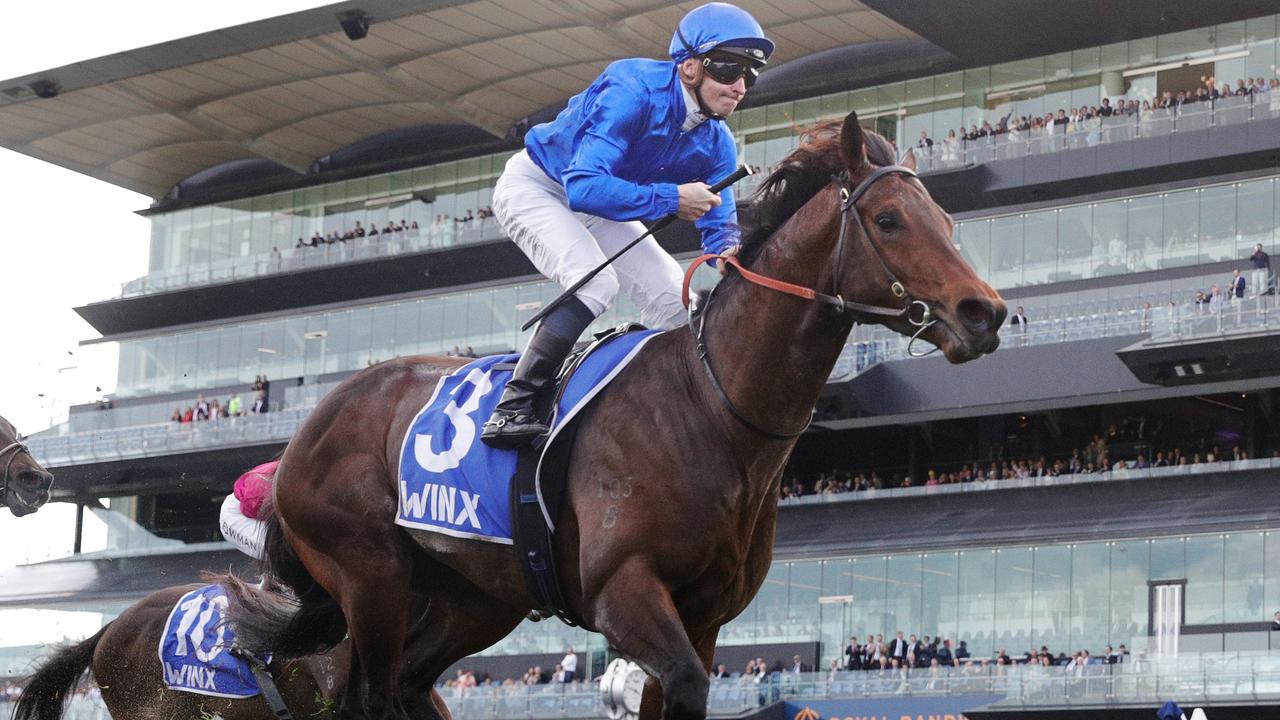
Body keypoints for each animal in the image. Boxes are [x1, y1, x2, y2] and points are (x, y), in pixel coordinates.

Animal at [227, 107, 1008, 717]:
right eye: (889, 219)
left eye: (946, 219)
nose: (986, 313)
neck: (711, 411)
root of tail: (313, 422)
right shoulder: (621, 592)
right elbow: (680, 679)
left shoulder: (704, 615)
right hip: (370, 579)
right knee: (370, 695)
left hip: (471, 597)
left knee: (410, 688)